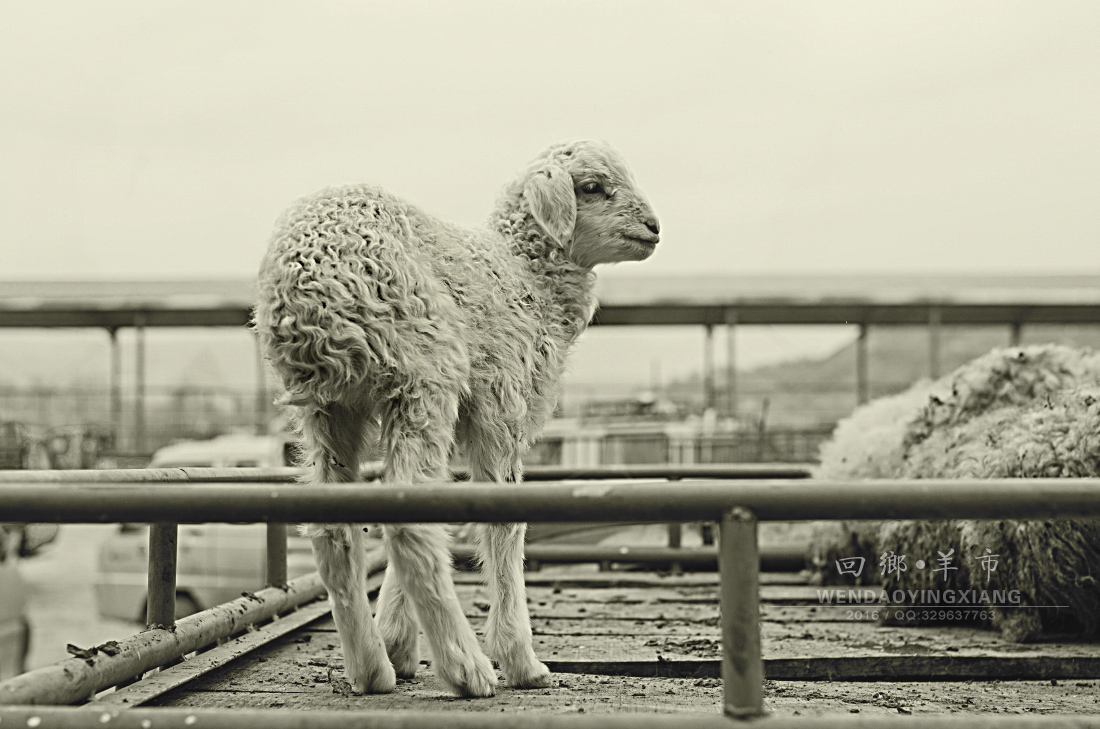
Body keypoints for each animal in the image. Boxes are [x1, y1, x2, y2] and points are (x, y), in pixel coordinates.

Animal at [253, 140, 655, 694]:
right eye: (593, 186)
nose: (654, 227)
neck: (523, 274)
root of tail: (309, 282)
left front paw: (398, 641)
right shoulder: (501, 404)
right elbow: (505, 525)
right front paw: (520, 659)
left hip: (328, 404)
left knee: (338, 529)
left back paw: (373, 669)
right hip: (424, 369)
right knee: (410, 526)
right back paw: (468, 669)